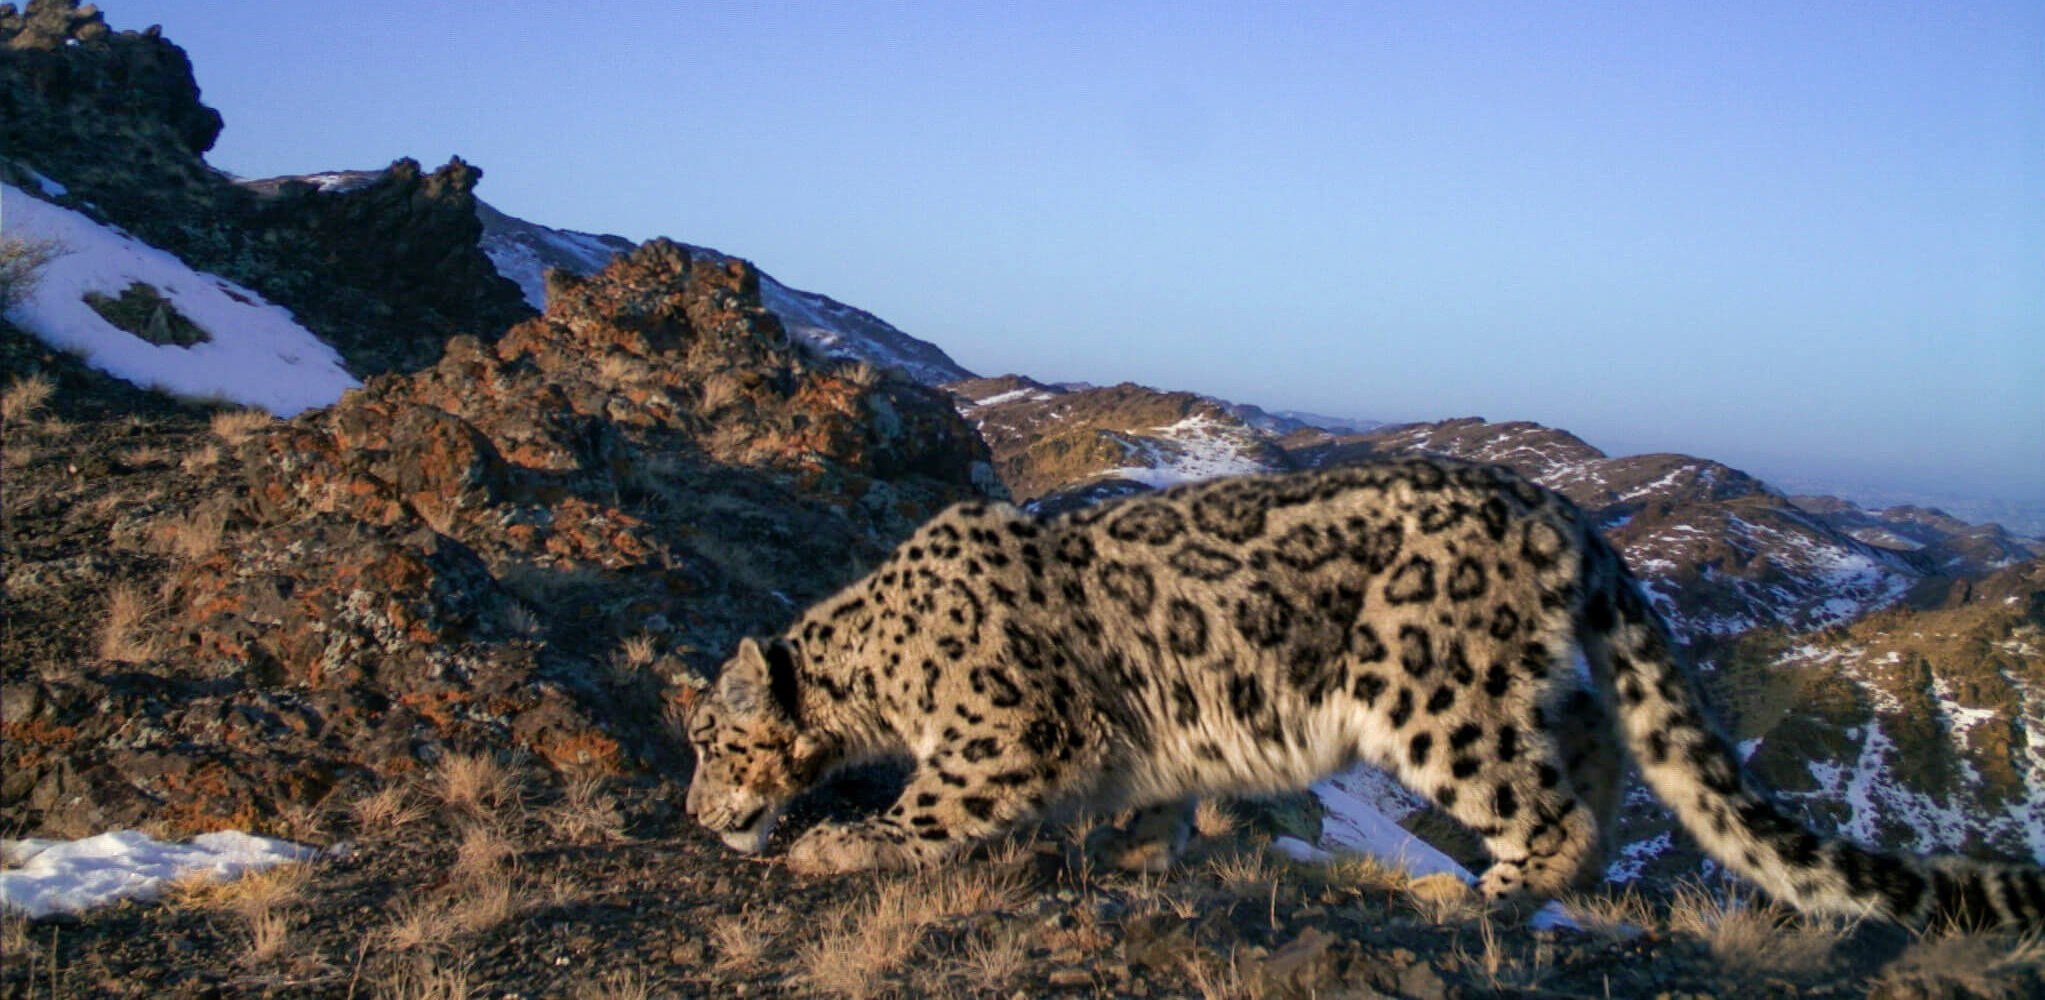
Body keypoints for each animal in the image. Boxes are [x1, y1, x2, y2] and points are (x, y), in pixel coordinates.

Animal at [685, 457, 2044, 928]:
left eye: (706, 741)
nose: (694, 813)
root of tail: (1565, 516)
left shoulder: (1008, 726)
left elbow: (931, 806)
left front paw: (832, 847)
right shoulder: (1133, 747)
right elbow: (1148, 806)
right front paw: (1139, 856)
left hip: (1434, 687)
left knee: (1545, 804)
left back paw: (1471, 897)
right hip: (1535, 687)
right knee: (1602, 763)